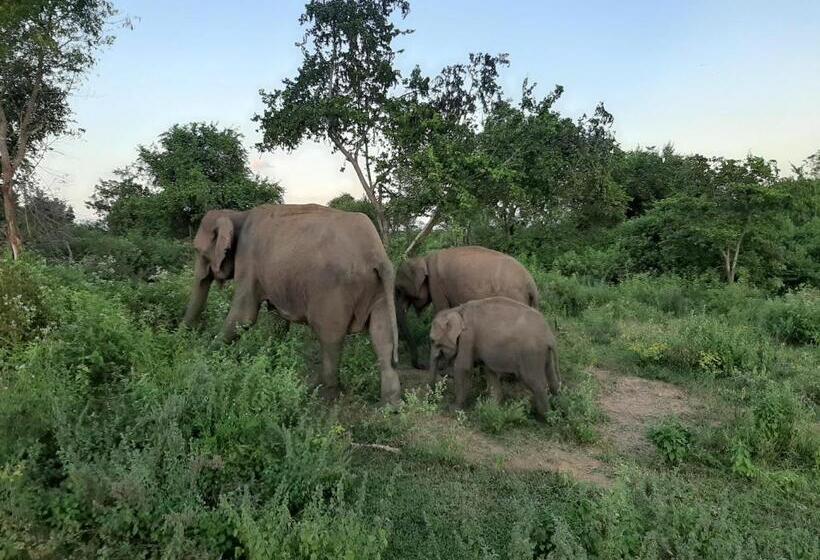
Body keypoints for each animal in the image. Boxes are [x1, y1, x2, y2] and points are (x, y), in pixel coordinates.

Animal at [182, 204, 401, 404]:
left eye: (198, 251)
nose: (188, 335)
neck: (237, 215)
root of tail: (377, 256)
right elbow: (277, 320)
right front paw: (270, 363)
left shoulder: (248, 260)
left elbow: (244, 316)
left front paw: (204, 357)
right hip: (379, 288)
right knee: (382, 336)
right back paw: (390, 406)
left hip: (334, 291)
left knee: (330, 337)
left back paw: (320, 394)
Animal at [395, 246, 539, 368]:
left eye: (400, 290)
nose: (421, 366)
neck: (424, 259)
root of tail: (531, 284)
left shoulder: (436, 284)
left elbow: (442, 310)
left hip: (514, 295)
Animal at [428, 296, 561, 418]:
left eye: (433, 341)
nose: (431, 398)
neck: (457, 310)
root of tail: (550, 337)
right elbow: (490, 371)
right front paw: (492, 407)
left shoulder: (468, 336)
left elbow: (462, 368)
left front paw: (453, 408)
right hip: (544, 354)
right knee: (552, 379)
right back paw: (558, 407)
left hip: (531, 354)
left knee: (536, 382)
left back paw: (544, 416)